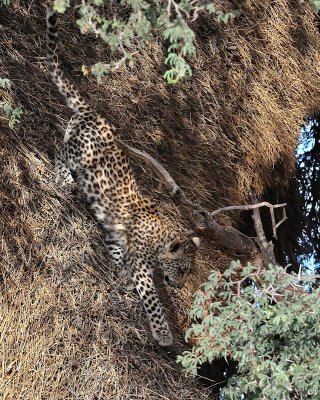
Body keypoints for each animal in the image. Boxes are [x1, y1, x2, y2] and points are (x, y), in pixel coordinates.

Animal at [45, 9, 200, 346]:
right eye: (182, 269)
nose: (180, 286)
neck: (159, 240)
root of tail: (93, 111)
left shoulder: (118, 238)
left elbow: (117, 255)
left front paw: (118, 273)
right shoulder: (144, 267)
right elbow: (153, 301)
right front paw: (163, 334)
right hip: (80, 152)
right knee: (60, 151)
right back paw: (64, 180)